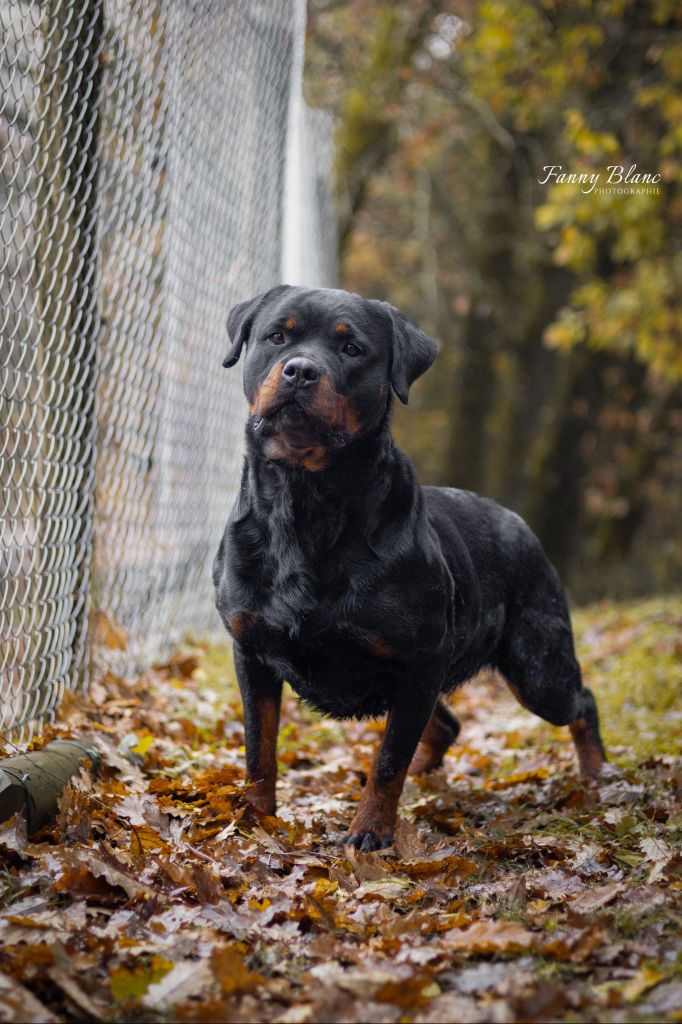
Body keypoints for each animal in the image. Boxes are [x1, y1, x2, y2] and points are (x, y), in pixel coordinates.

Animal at [209, 284, 602, 851]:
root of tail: (517, 522)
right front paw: (254, 816)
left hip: (537, 666)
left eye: (352, 350)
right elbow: (259, 747)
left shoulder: (420, 659)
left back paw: (597, 776)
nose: (300, 370)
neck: (306, 504)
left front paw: (370, 829)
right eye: (277, 337)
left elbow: (389, 757)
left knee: (579, 701)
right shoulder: (252, 651)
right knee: (444, 725)